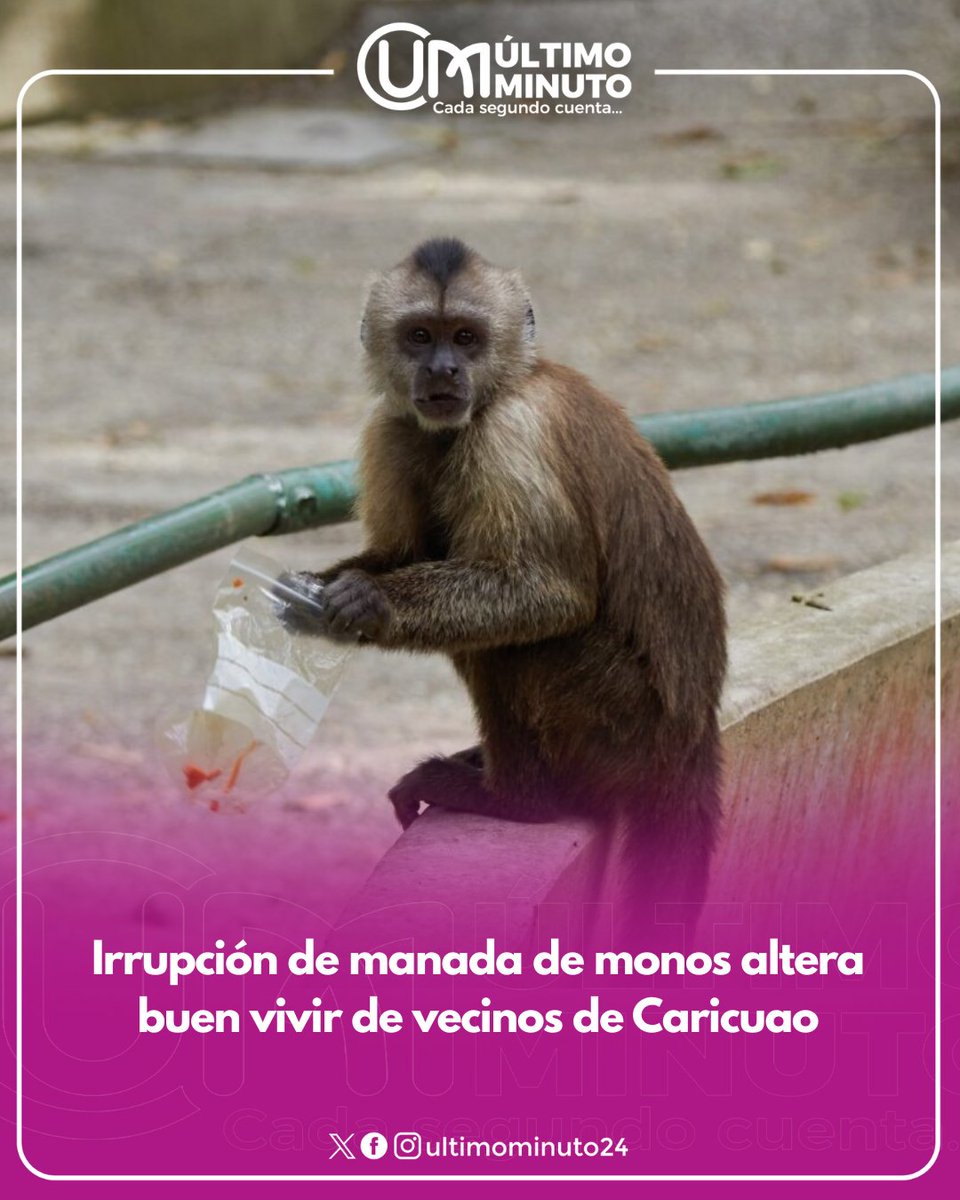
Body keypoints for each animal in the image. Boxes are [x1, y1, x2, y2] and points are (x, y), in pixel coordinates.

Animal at [276, 236, 727, 939]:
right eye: (420, 336)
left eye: (466, 337)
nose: (442, 371)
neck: (499, 390)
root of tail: (695, 737)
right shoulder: (389, 425)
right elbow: (402, 549)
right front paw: (319, 593)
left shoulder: (514, 432)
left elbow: (549, 595)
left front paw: (368, 605)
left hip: (627, 725)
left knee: (508, 645)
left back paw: (520, 800)